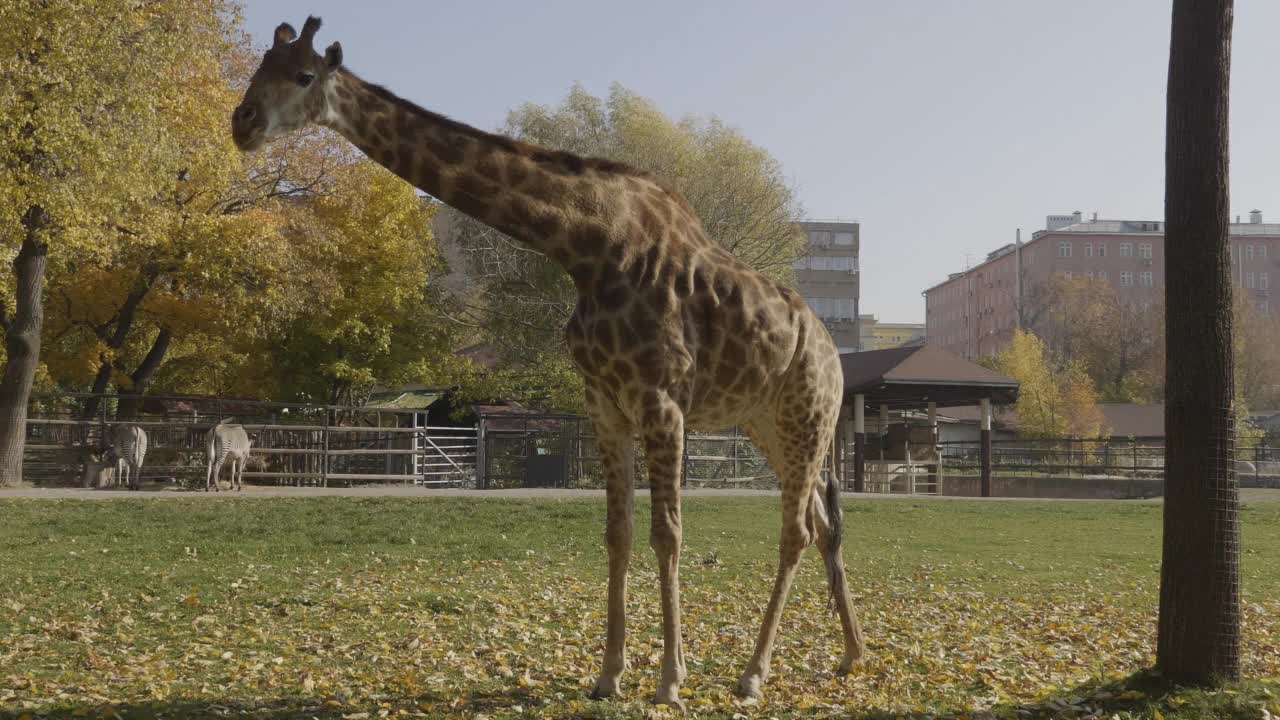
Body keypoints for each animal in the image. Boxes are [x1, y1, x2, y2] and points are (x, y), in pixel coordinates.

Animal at [234, 16, 865, 707]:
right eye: (259, 67)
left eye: (303, 76)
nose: (242, 122)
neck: (587, 246)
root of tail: (832, 353)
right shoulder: (605, 404)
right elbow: (617, 534)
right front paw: (609, 674)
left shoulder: (661, 399)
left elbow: (667, 533)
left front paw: (670, 680)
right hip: (769, 425)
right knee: (823, 521)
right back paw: (850, 656)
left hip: (808, 417)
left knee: (797, 530)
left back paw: (753, 675)